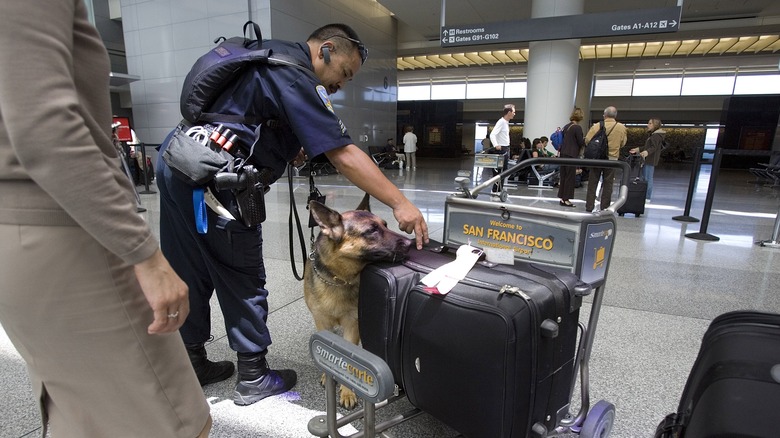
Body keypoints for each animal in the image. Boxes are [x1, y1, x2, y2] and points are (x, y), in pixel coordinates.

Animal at [304, 197, 414, 408]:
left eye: (385, 225)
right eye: (371, 231)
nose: (409, 243)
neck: (339, 280)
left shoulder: (352, 324)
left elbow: (348, 359)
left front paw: (347, 392)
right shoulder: (323, 322)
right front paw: (327, 375)